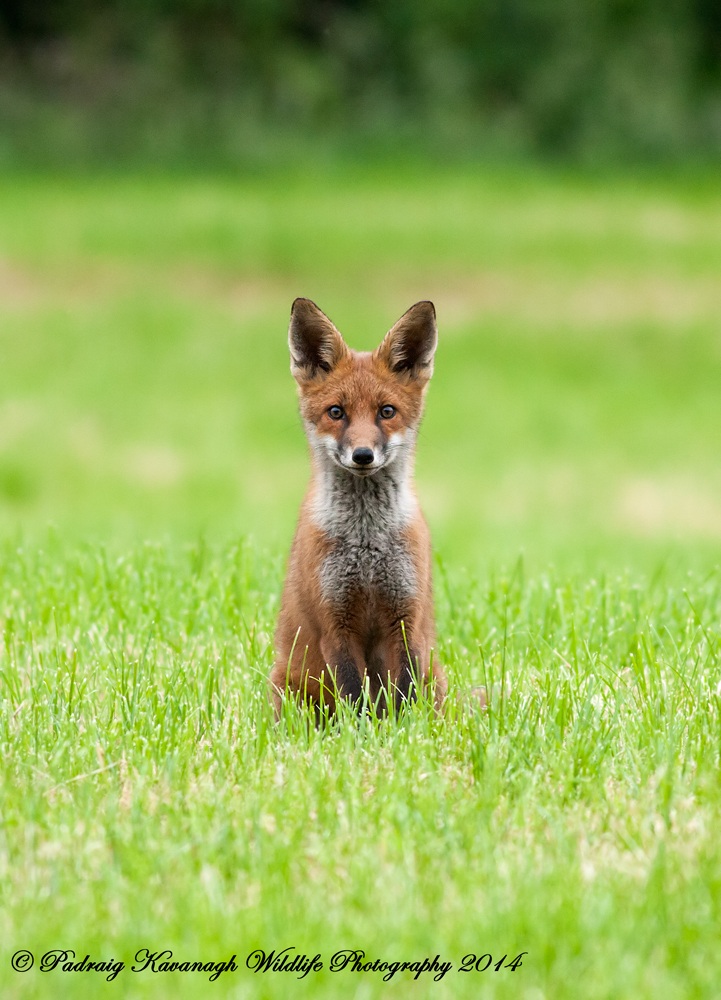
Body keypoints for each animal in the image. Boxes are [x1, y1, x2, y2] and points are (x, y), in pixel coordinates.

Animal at [270, 297, 448, 718]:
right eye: (336, 412)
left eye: (387, 411)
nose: (363, 455)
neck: (367, 542)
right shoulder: (335, 623)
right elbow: (354, 697)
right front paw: (361, 733)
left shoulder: (405, 619)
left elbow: (403, 697)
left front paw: (404, 733)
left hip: (436, 674)